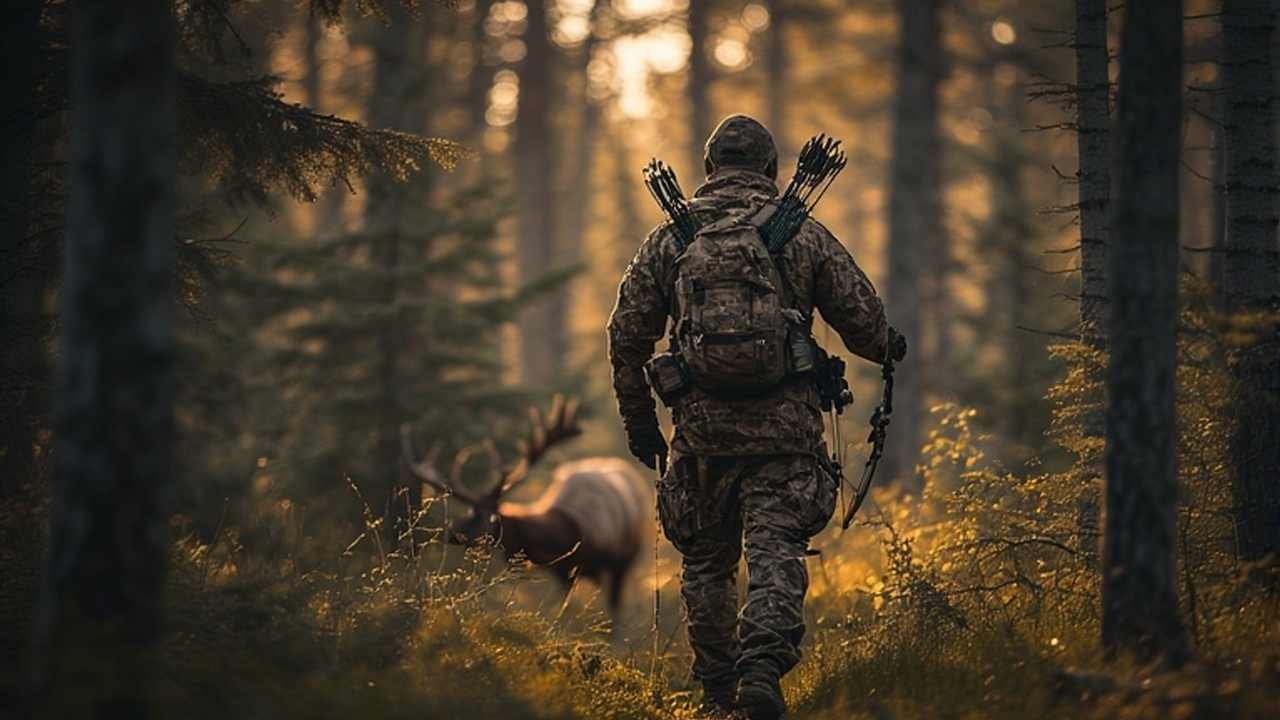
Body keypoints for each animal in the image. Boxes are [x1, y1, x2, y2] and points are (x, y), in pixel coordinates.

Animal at [400, 396, 650, 612]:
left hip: (626, 557)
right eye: (470, 511)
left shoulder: (586, 566)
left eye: (488, 517)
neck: (560, 540)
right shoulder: (563, 571)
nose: (453, 535)